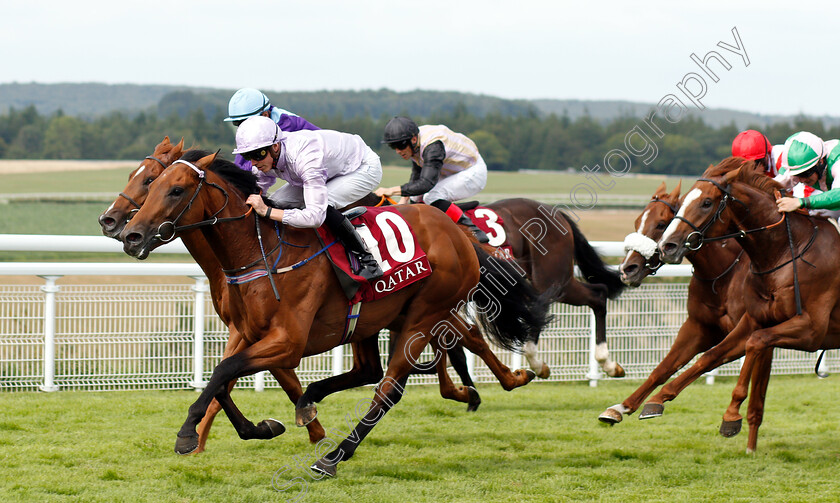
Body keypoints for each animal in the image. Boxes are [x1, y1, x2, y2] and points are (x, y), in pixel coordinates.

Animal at [118, 153, 552, 476]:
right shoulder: (247, 332)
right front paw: (262, 427)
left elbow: (225, 372)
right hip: (375, 318)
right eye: (150, 184)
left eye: (175, 189)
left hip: (424, 315)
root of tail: (456, 232)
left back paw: (333, 458)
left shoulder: (288, 341)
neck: (259, 252)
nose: (129, 234)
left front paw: (187, 435)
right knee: (374, 368)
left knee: (387, 388)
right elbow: (221, 380)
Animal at [596, 181, 756, 426]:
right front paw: (620, 407)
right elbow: (664, 367)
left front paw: (656, 401)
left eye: (661, 224)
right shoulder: (699, 327)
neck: (724, 274)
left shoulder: (747, 330)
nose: (627, 269)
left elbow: (709, 358)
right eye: (637, 222)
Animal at [660, 159, 840, 454]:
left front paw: (731, 416)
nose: (668, 246)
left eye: (707, 203)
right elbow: (711, 355)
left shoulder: (811, 330)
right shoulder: (753, 320)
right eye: (683, 201)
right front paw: (658, 398)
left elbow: (755, 342)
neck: (784, 253)